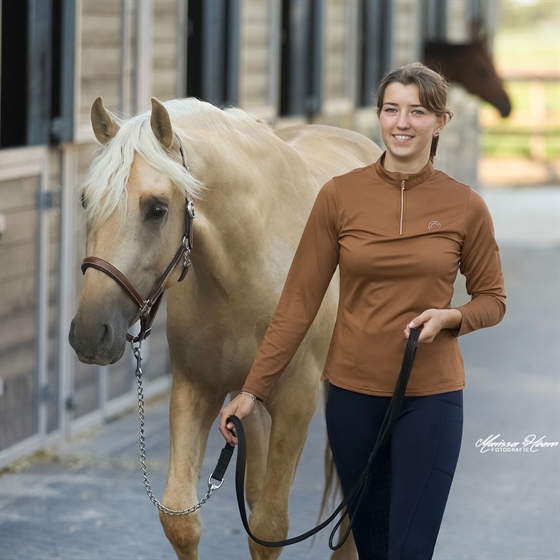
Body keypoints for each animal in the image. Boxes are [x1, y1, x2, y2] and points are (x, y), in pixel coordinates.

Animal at [70, 97, 382, 560]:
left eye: (157, 208)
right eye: (85, 200)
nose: (90, 333)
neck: (250, 265)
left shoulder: (297, 402)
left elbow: (269, 527)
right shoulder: (196, 389)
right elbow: (181, 519)